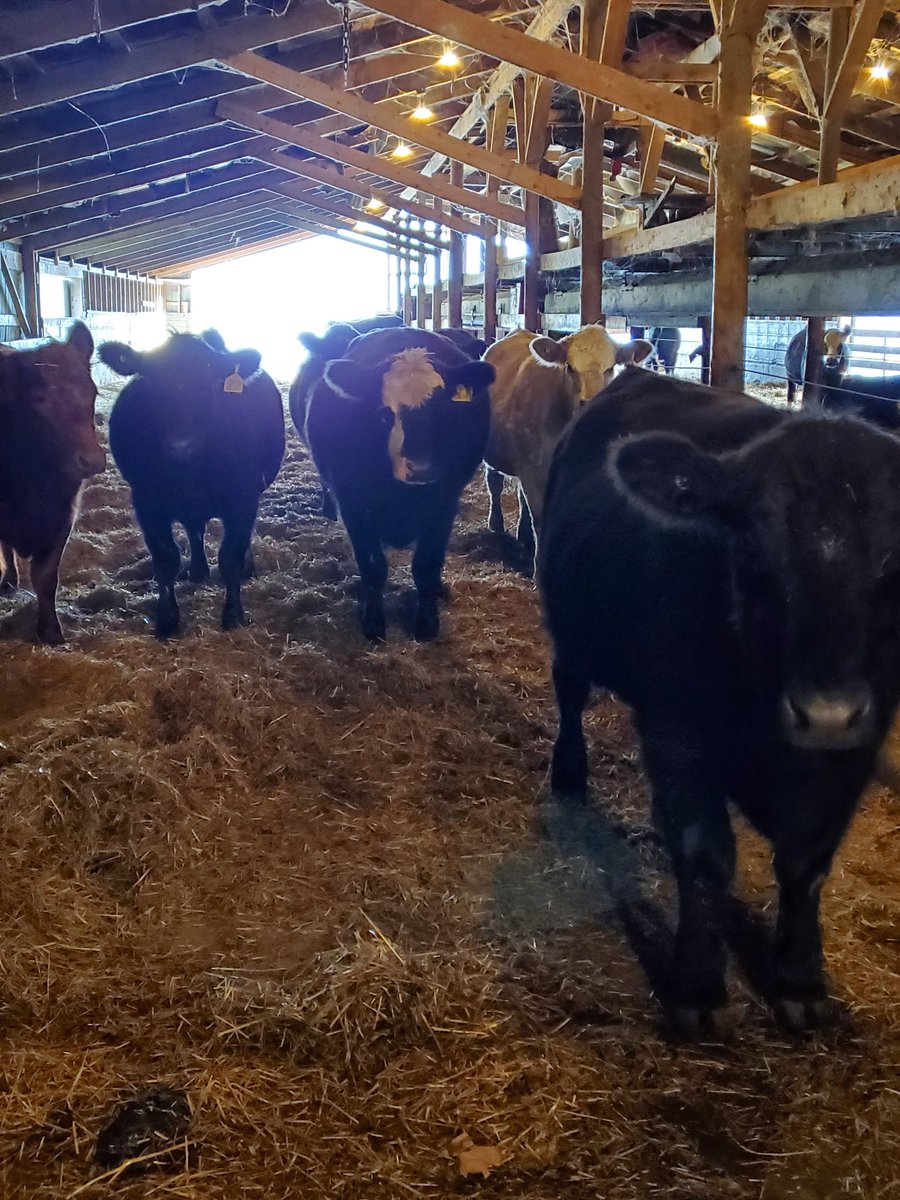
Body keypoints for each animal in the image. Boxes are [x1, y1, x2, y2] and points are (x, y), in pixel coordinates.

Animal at [0, 321, 105, 644]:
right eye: (39, 398)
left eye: (92, 391)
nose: (92, 460)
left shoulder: (64, 514)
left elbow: (45, 576)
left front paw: (50, 630)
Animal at [100, 331, 284, 638]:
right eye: (151, 382)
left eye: (208, 384)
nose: (180, 444)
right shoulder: (147, 504)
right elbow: (166, 559)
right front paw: (167, 619)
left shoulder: (243, 501)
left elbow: (231, 557)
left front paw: (233, 614)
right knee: (195, 529)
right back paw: (198, 570)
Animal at [306, 327, 494, 642]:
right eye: (385, 412)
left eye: (443, 410)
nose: (420, 469)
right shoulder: (353, 506)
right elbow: (373, 568)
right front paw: (372, 620)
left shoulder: (444, 504)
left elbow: (426, 565)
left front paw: (427, 621)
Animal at [482, 326, 652, 560]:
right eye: (570, 368)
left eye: (610, 368)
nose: (589, 402)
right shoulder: (534, 471)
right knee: (495, 482)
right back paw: (497, 524)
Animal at [538, 367, 900, 1036]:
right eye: (751, 549)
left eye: (897, 565)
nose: (825, 712)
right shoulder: (678, 732)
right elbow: (704, 854)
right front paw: (698, 985)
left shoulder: (856, 750)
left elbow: (807, 863)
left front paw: (799, 977)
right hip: (571, 628)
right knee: (569, 691)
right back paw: (569, 773)